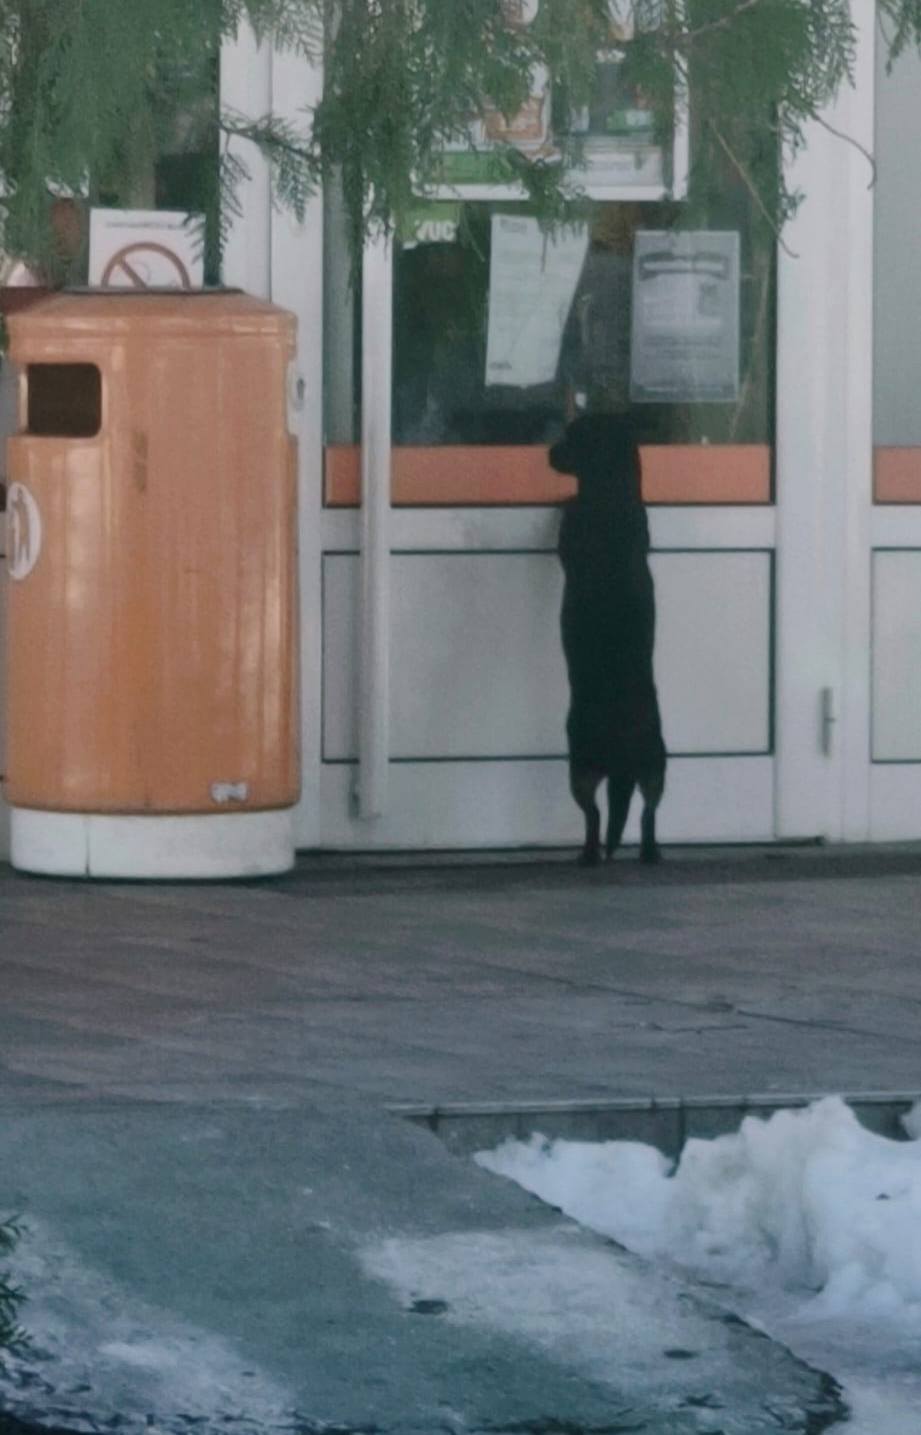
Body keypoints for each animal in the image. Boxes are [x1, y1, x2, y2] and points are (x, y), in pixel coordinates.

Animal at [549, 413, 666, 866]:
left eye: (570, 439)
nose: (547, 452)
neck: (612, 490)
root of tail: (623, 761)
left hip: (579, 766)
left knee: (595, 816)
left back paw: (588, 854)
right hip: (656, 766)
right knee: (649, 814)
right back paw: (650, 852)